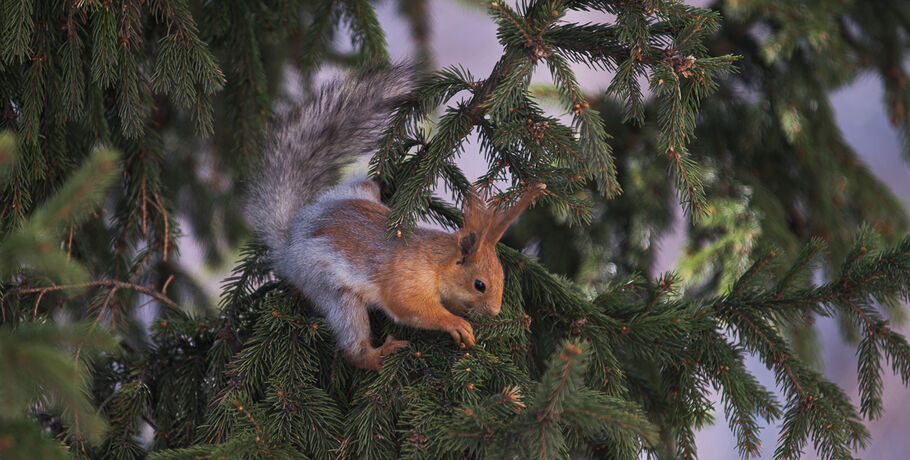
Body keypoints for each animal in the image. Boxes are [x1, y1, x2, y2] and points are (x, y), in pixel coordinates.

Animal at [249, 66, 544, 372]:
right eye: (480, 285)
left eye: (502, 275)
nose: (495, 311)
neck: (437, 262)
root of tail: (295, 234)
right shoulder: (405, 280)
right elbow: (409, 308)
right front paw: (455, 322)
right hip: (326, 285)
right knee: (351, 340)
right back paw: (378, 354)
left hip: (361, 189)